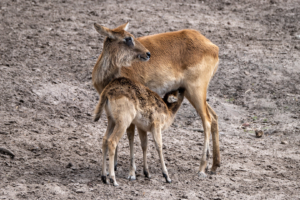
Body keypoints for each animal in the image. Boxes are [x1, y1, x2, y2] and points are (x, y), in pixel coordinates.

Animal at [92, 22, 221, 178]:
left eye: (132, 36)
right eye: (128, 38)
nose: (147, 54)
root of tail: (213, 47)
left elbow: (130, 135)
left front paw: (132, 172)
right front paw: (116, 166)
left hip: (196, 91)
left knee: (207, 121)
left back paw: (201, 169)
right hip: (194, 94)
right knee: (214, 117)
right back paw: (214, 166)